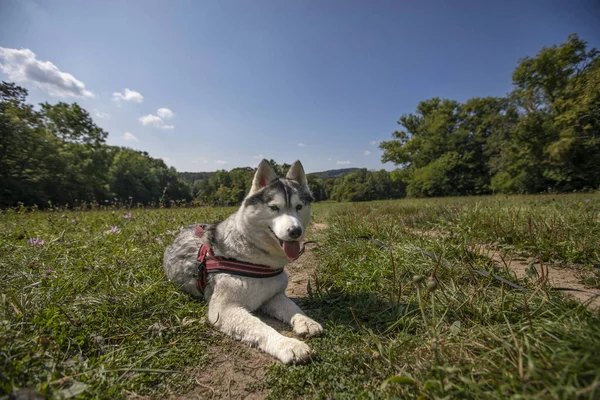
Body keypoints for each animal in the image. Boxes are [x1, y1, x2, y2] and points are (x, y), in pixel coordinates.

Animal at [163, 159, 324, 362]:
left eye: (299, 207)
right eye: (274, 208)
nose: (295, 231)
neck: (256, 257)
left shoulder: (273, 295)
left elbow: (292, 307)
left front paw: (306, 321)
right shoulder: (223, 309)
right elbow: (262, 328)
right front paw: (288, 344)